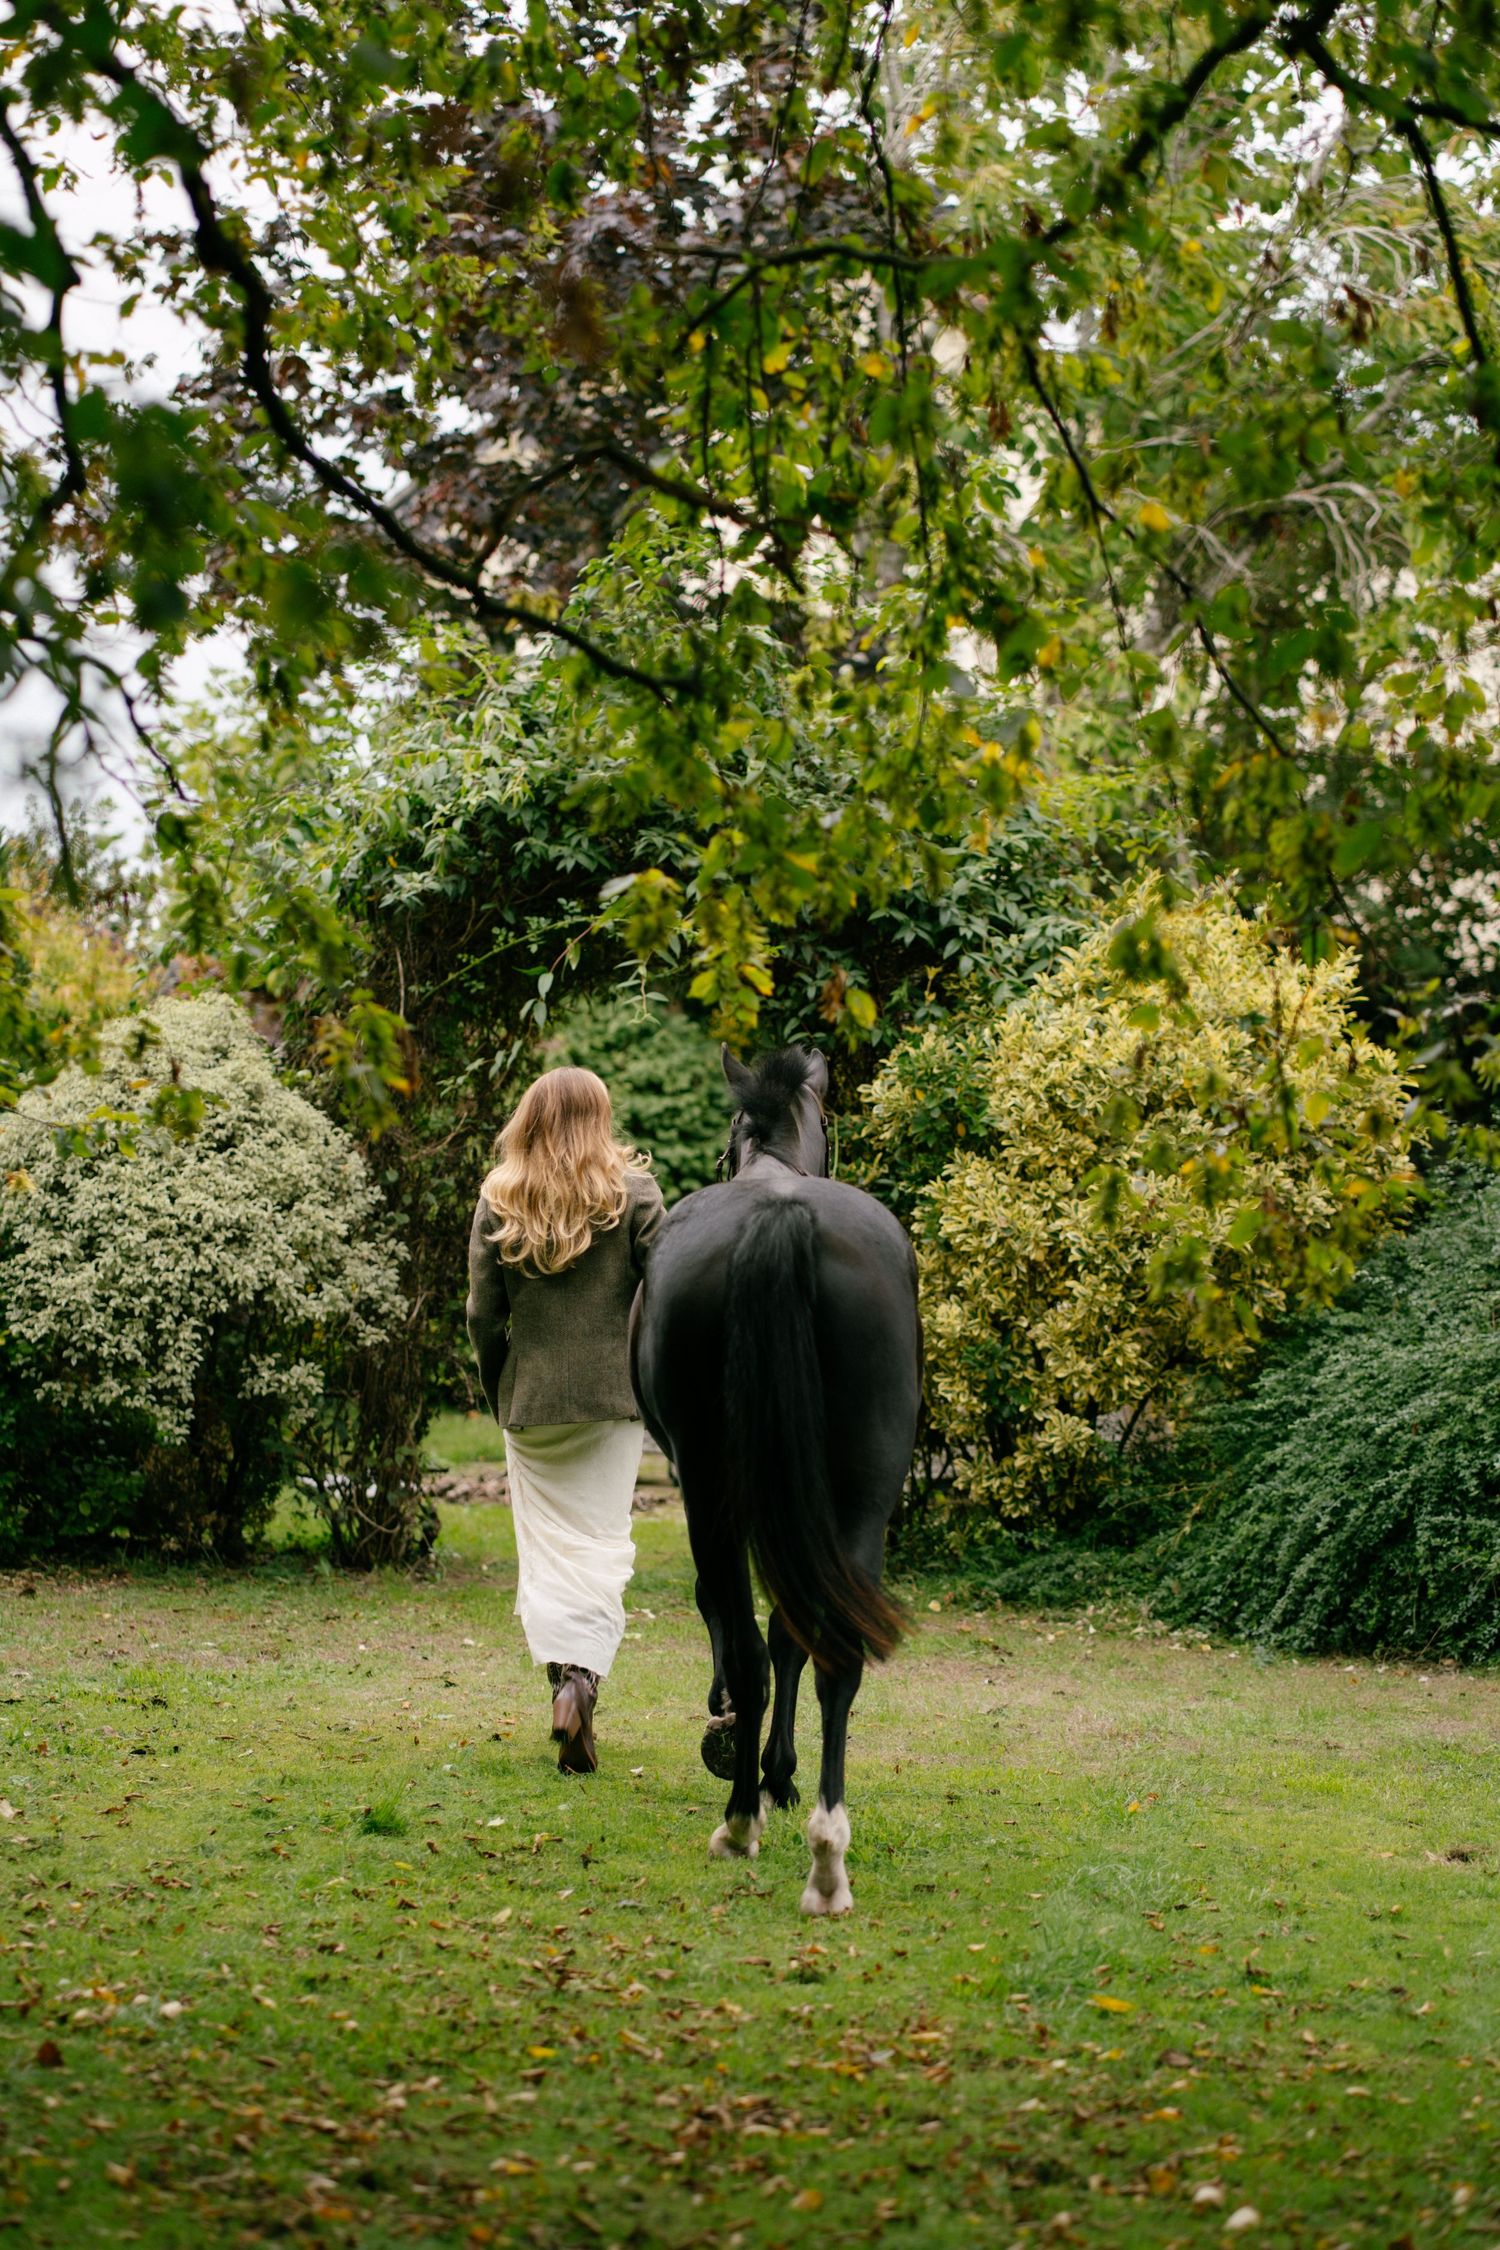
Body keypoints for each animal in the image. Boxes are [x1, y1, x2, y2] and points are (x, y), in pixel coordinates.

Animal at [630, 1044, 922, 1915]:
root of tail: (781, 1216)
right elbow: (792, 1632)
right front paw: (782, 1775)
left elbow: (737, 1623)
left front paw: (751, 1759)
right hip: (862, 1494)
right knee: (834, 1654)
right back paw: (827, 1856)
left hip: (711, 1490)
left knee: (754, 1647)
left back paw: (741, 1820)